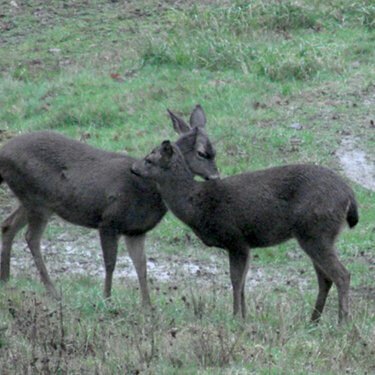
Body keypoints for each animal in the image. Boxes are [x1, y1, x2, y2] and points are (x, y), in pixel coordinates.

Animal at [0, 104, 220, 304]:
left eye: (215, 151)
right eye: (202, 153)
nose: (216, 178)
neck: (147, 190)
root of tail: (3, 153)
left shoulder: (135, 230)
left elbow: (142, 266)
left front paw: (147, 306)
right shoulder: (108, 221)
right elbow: (110, 263)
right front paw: (107, 298)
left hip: (32, 200)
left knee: (8, 225)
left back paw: (6, 279)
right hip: (36, 199)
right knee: (31, 237)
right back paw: (53, 292)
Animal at [131, 140, 358, 324]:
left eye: (149, 160)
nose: (133, 168)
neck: (196, 205)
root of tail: (349, 195)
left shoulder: (235, 239)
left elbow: (235, 279)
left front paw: (235, 317)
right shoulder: (246, 244)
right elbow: (243, 282)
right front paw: (245, 316)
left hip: (315, 231)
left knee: (342, 274)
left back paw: (343, 322)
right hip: (317, 235)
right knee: (325, 278)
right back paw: (313, 321)